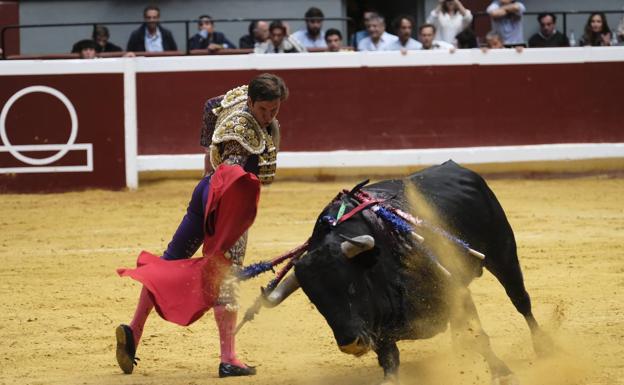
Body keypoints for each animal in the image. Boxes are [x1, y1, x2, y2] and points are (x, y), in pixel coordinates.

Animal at [272, 160, 552, 384]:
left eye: (351, 286)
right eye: (316, 302)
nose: (351, 345)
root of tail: (458, 167)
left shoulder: (455, 288)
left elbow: (479, 336)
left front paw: (503, 373)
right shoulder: (380, 329)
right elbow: (390, 360)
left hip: (503, 255)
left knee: (521, 301)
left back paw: (544, 347)